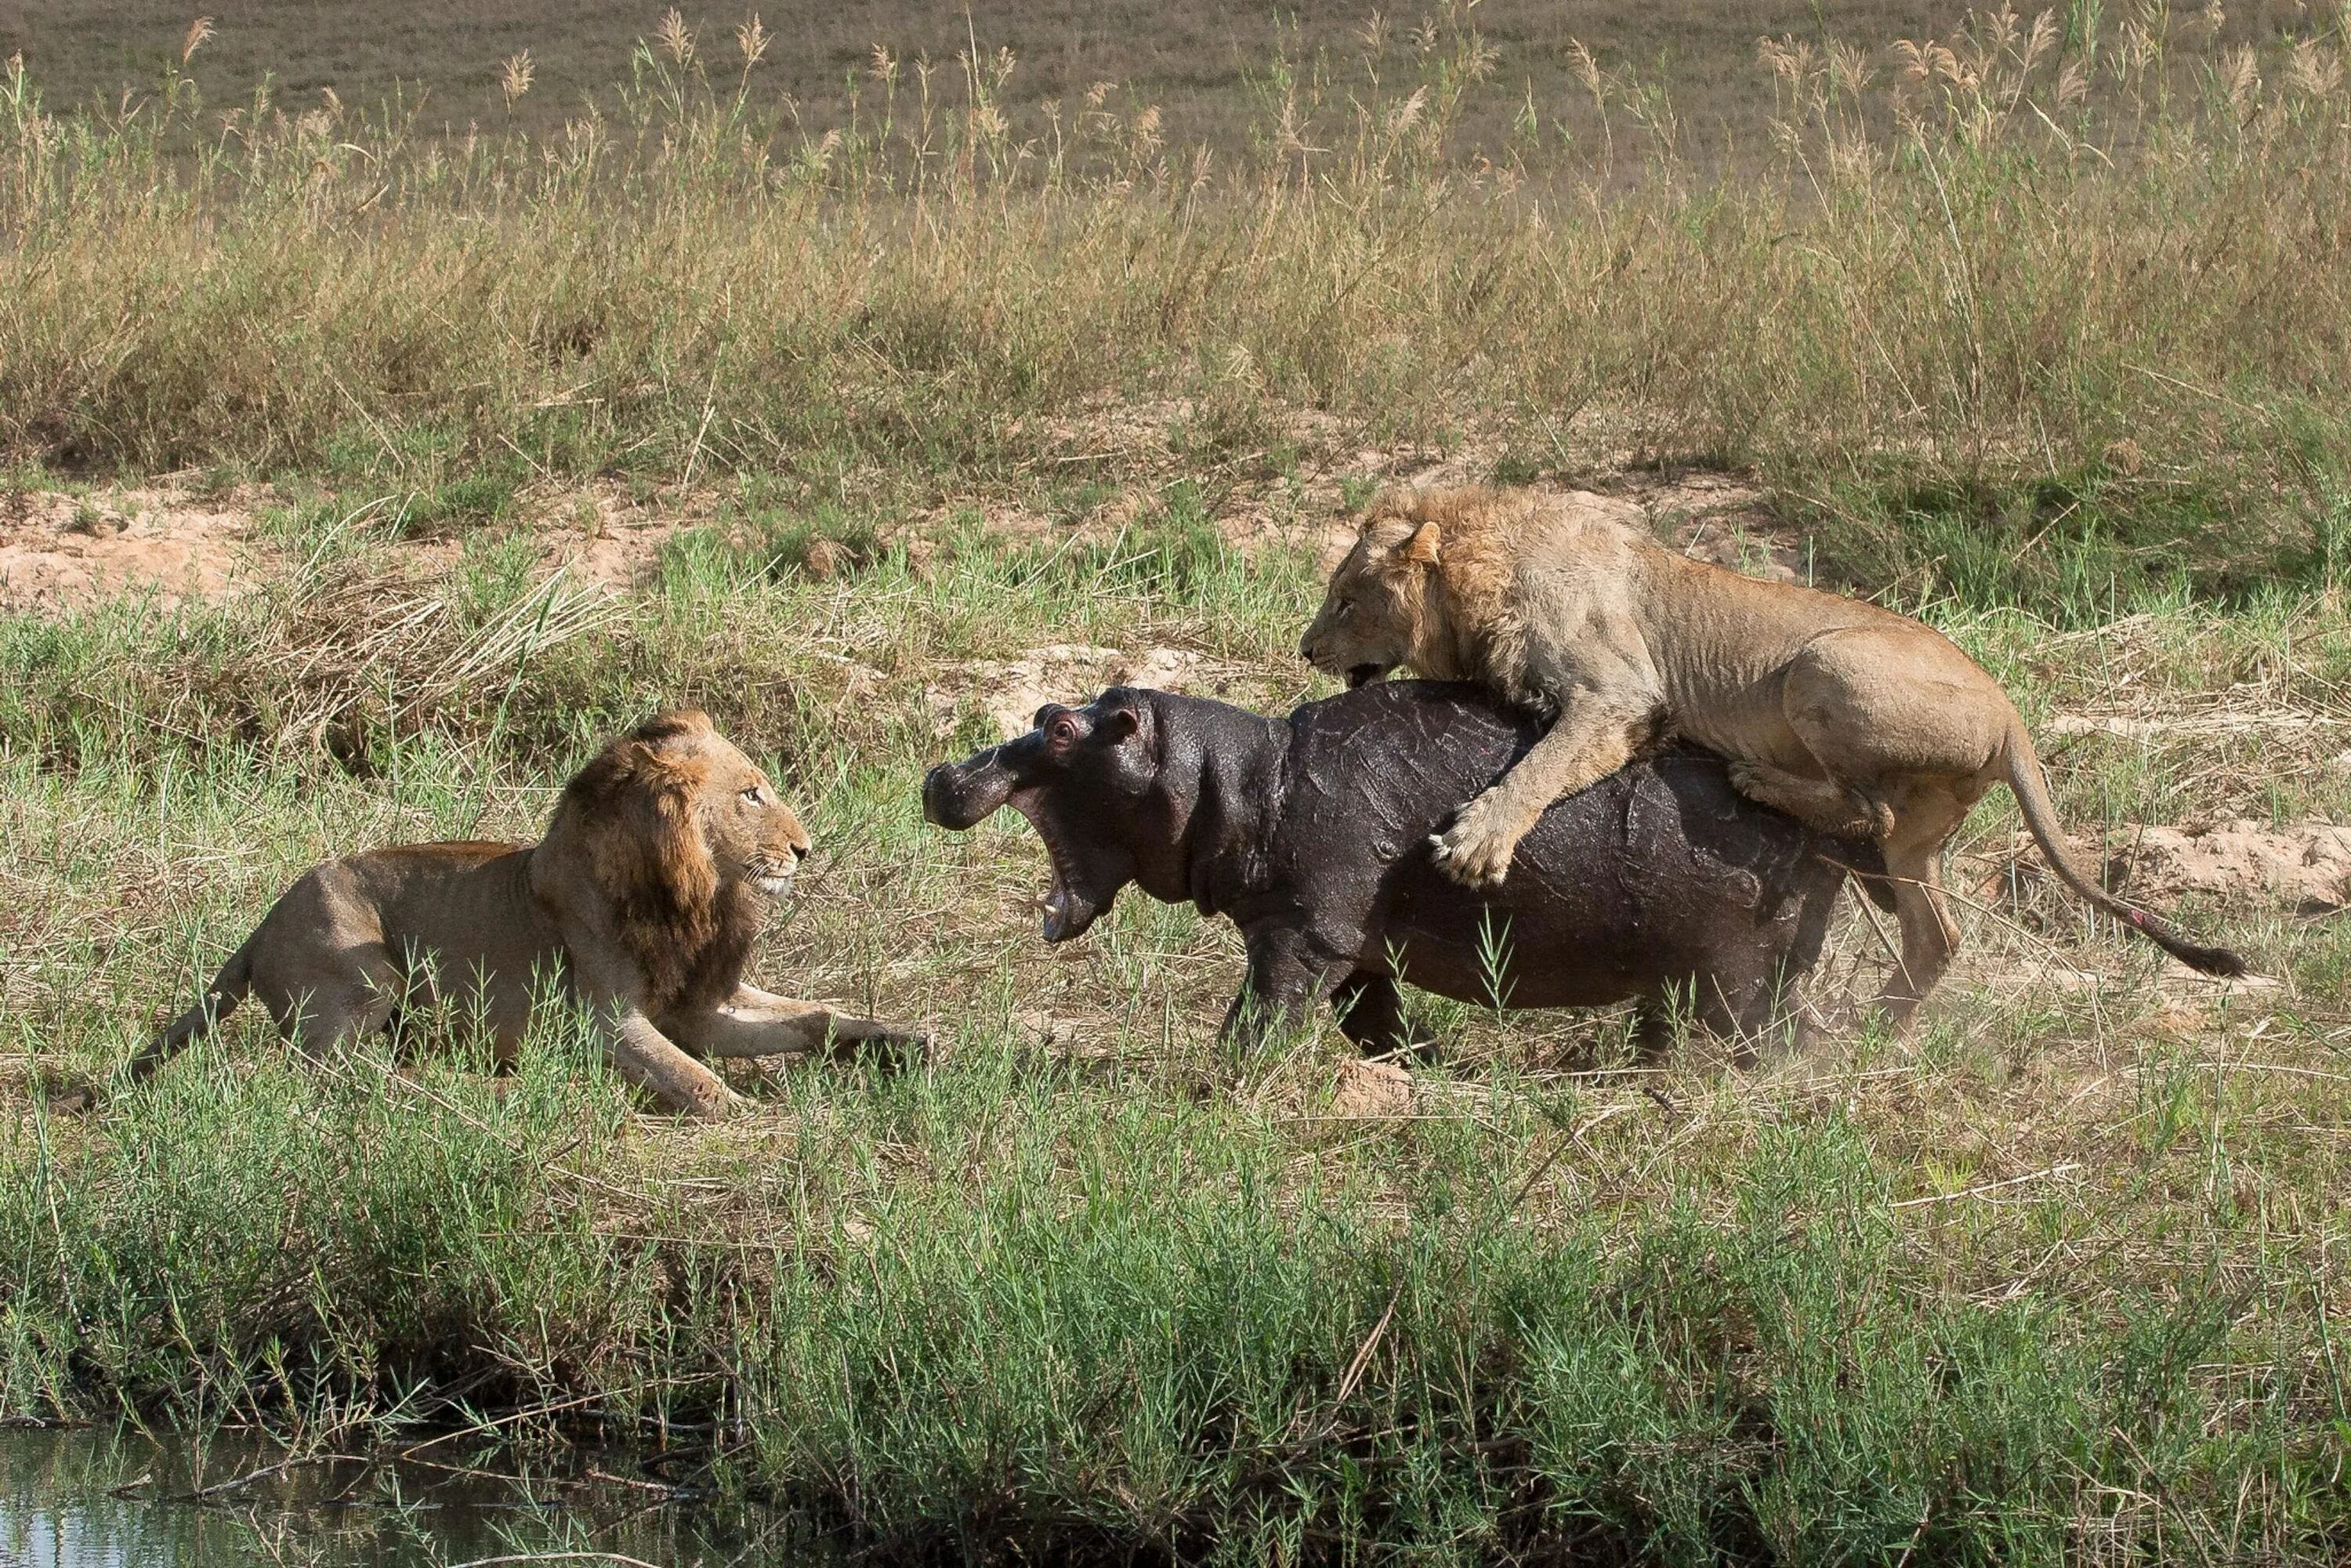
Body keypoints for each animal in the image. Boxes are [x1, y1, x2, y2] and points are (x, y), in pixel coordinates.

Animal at [133, 710, 926, 1114]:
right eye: (751, 794)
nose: (804, 849)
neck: (693, 894)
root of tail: (262, 924)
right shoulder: (607, 1021)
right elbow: (699, 1081)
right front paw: (765, 1120)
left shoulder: (697, 1004)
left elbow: (811, 1014)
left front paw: (896, 1039)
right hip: (362, 968)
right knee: (328, 1071)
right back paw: (468, 1085)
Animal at [922, 682, 1890, 1048]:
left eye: (1059, 729)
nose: (942, 775)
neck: (1242, 779)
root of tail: (1838, 821)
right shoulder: (1348, 944)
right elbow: (1374, 1023)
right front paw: (1418, 1066)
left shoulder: (1301, 934)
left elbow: (1259, 1017)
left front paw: (1213, 1084)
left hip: (1734, 971)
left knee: (1758, 1036)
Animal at [1298, 494, 2248, 1030]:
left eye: (1346, 598)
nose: (1306, 649)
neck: (1484, 564)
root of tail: (2011, 712)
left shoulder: (1620, 695)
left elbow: (1540, 767)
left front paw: (1477, 843)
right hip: (1915, 842)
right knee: (1935, 931)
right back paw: (1878, 1030)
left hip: (1822, 665)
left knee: (1867, 808)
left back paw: (1759, 781)